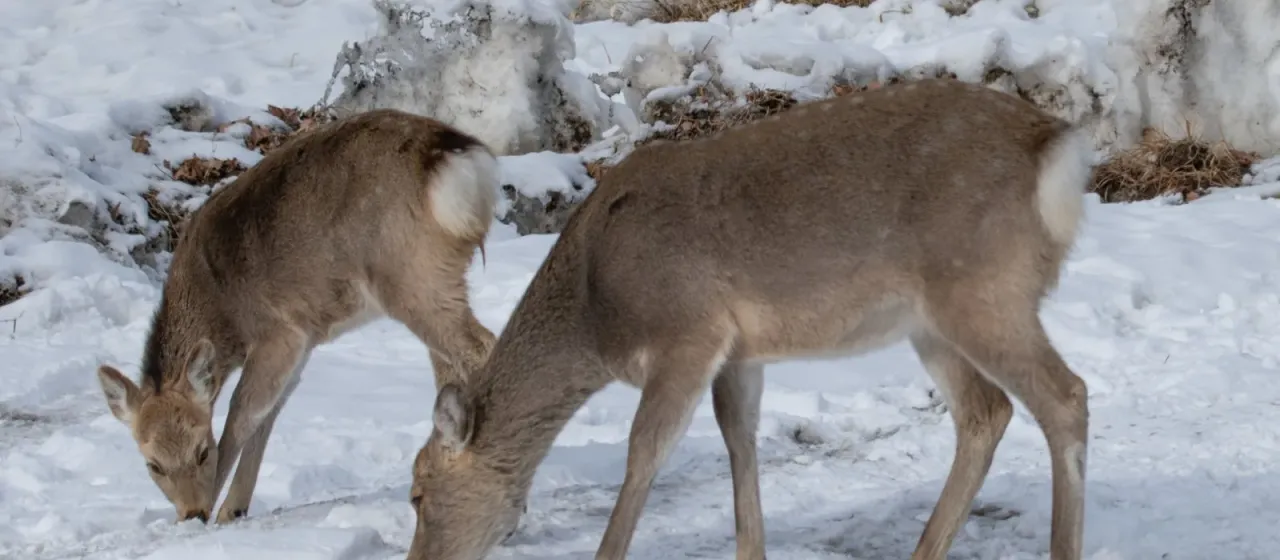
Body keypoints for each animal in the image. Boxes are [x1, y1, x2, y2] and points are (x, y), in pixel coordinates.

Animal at [95, 108, 500, 525]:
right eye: (153, 465)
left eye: (202, 450)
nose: (192, 513)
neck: (221, 312)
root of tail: (458, 160)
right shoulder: (304, 338)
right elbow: (271, 411)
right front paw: (234, 507)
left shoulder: (279, 331)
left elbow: (244, 412)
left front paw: (219, 510)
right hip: (433, 279)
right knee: (449, 366)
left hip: (410, 276)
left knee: (480, 346)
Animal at [404, 77, 1096, 560]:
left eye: (418, 492)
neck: (595, 314)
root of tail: (1058, 152)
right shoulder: (739, 352)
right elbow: (739, 439)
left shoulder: (687, 332)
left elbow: (644, 452)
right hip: (932, 320)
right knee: (986, 412)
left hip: (982, 288)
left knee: (1066, 395)